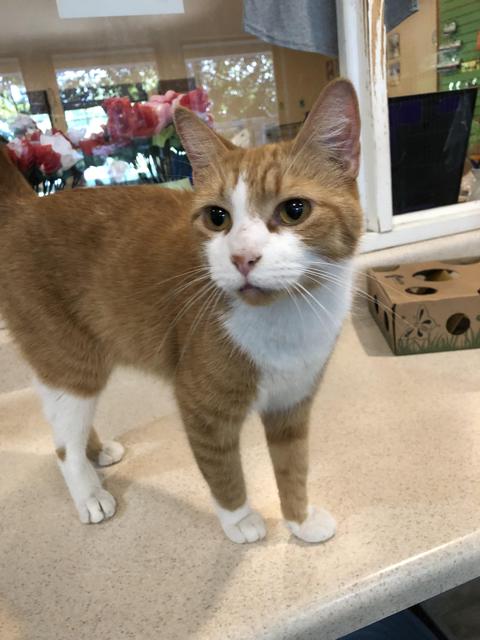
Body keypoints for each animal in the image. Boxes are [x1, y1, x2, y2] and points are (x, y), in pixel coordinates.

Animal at [0, 79, 362, 544]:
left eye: (294, 210)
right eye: (217, 217)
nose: (243, 258)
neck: (287, 320)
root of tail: (25, 207)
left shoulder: (293, 404)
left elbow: (293, 467)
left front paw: (299, 520)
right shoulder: (201, 408)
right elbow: (224, 472)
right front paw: (240, 520)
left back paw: (97, 450)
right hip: (69, 361)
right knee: (63, 442)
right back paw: (89, 492)